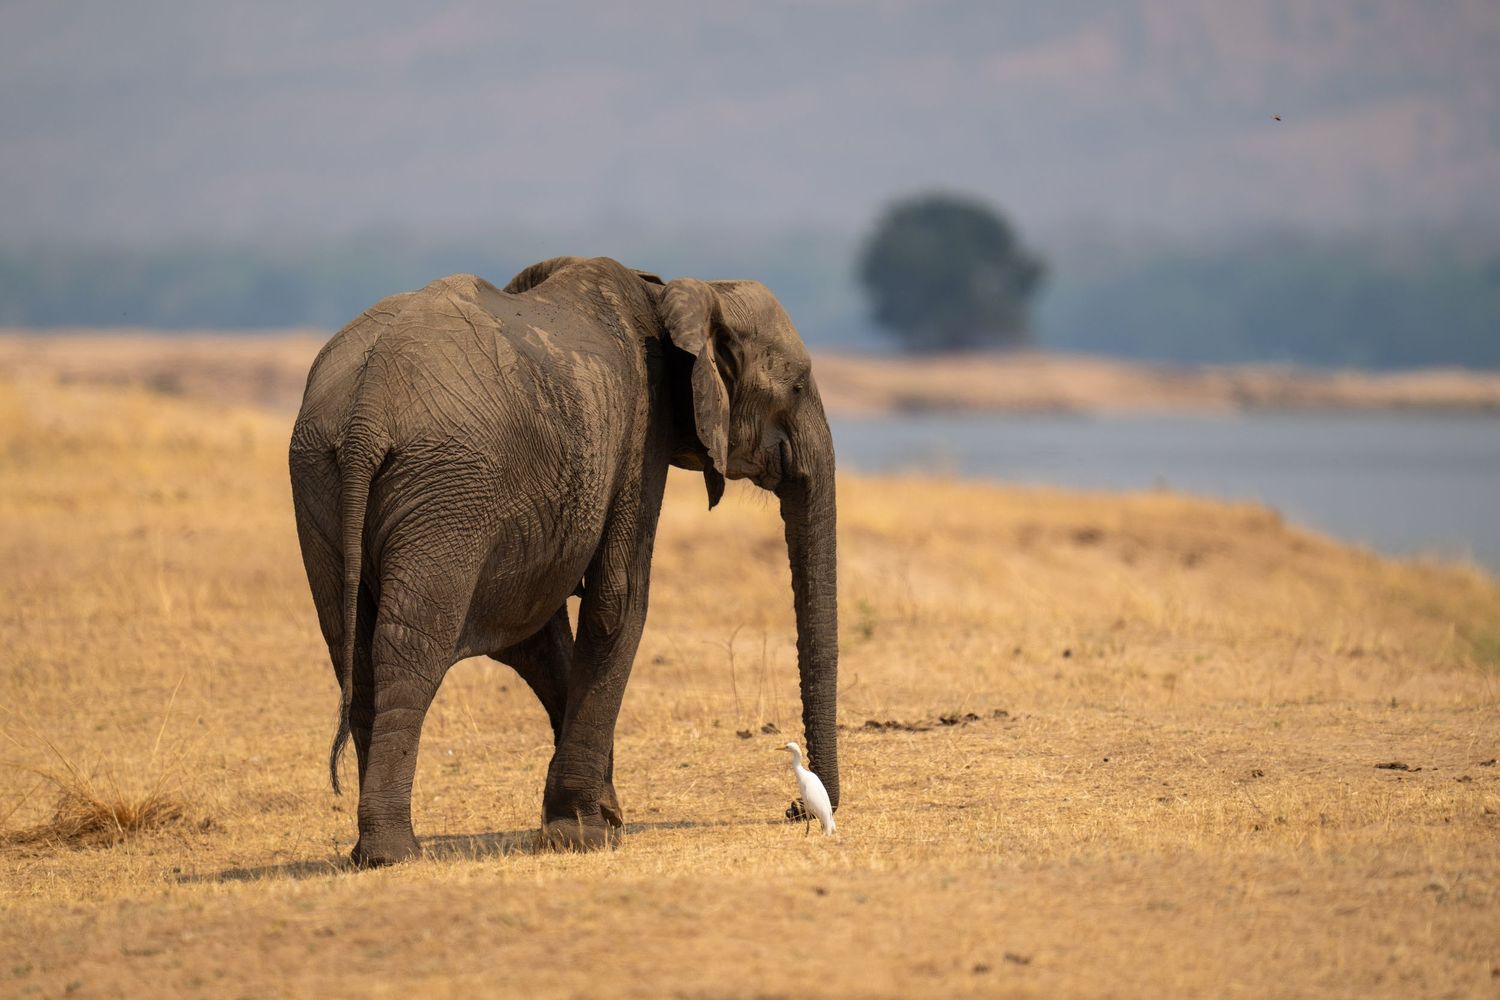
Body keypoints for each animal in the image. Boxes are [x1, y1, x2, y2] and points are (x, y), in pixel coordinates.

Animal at [288, 255, 839, 866]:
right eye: (796, 385)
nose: (795, 810)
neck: (677, 294)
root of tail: (366, 413)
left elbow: (538, 635)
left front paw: (601, 814)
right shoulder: (641, 432)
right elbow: (619, 601)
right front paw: (586, 835)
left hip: (322, 474)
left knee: (350, 646)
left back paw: (370, 849)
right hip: (445, 490)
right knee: (410, 648)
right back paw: (394, 853)